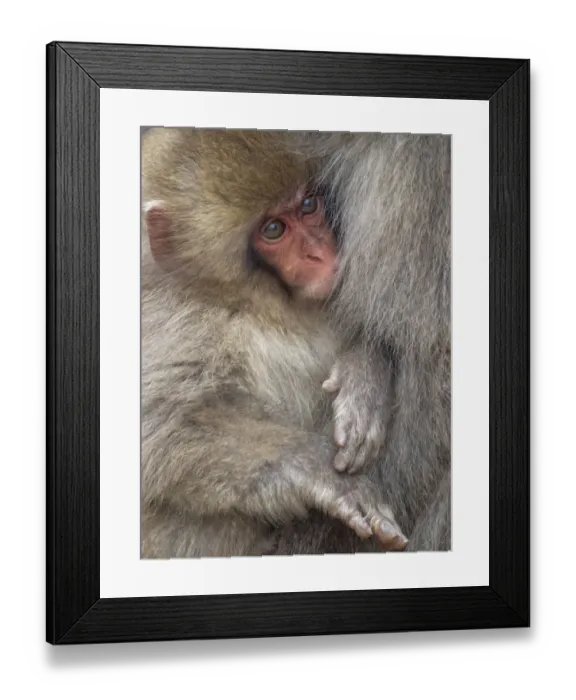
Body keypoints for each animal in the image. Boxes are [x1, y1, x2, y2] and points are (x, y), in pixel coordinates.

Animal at [139, 127, 407, 559]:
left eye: (308, 205)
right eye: (274, 230)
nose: (319, 252)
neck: (247, 300)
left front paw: (365, 377)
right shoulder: (177, 321)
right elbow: (163, 429)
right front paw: (312, 468)